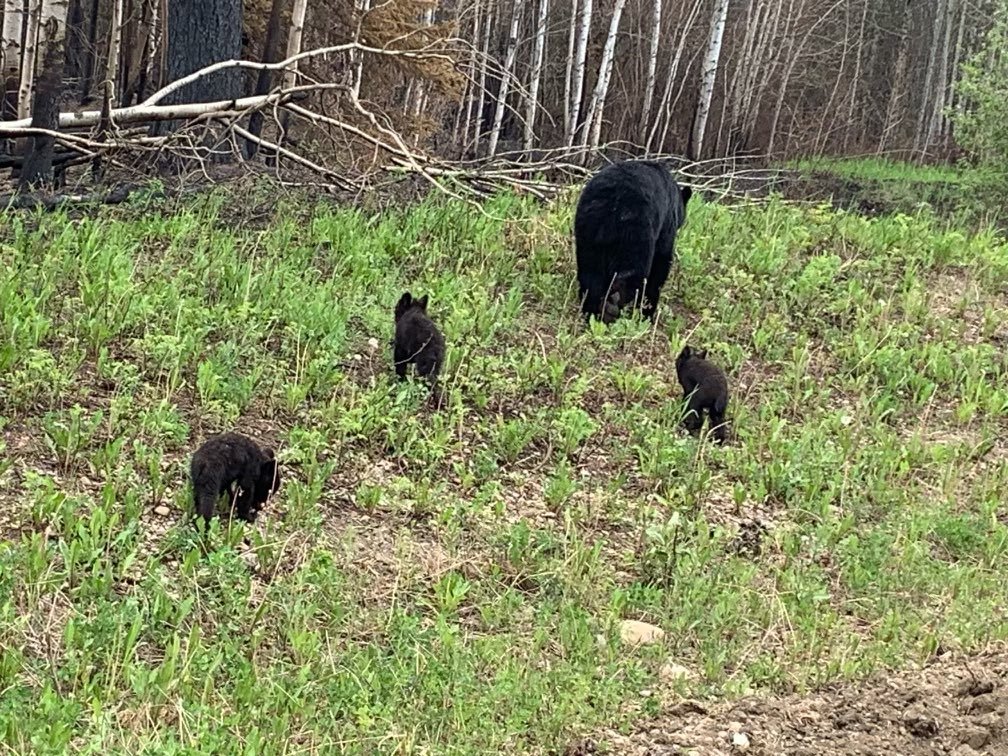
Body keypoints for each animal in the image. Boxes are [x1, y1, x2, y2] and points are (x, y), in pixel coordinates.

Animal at [576, 163, 693, 322]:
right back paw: (612, 305)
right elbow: (660, 264)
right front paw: (648, 311)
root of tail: (609, 205)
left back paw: (591, 311)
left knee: (591, 275)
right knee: (633, 272)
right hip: (635, 233)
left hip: (588, 235)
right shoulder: (666, 226)